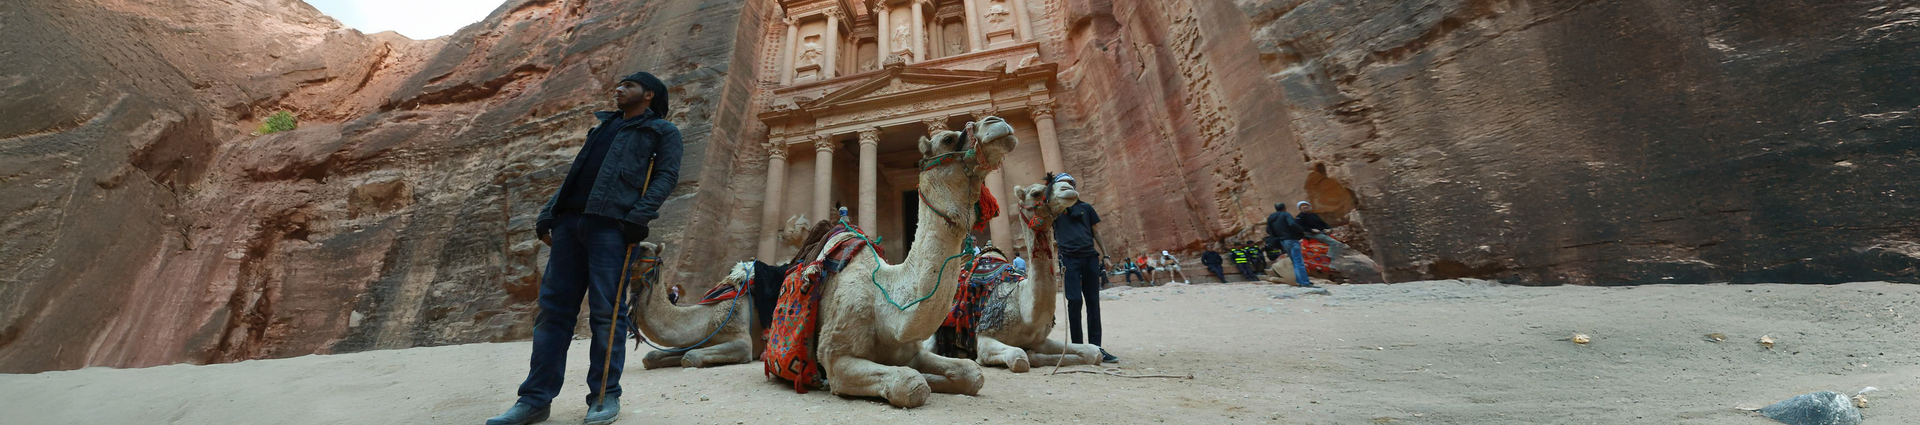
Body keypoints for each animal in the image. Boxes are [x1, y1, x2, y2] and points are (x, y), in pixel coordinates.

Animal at [808, 116, 1017, 408]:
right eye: (947, 139)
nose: (995, 121)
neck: (887, 305)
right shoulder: (835, 356)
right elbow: (911, 383)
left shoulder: (910, 350)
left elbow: (971, 373)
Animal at [969, 180, 1103, 372]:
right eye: (1035, 193)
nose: (1068, 188)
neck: (1026, 315)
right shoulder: (983, 337)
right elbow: (1018, 357)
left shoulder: (1039, 339)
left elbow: (1093, 352)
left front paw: (1036, 355)